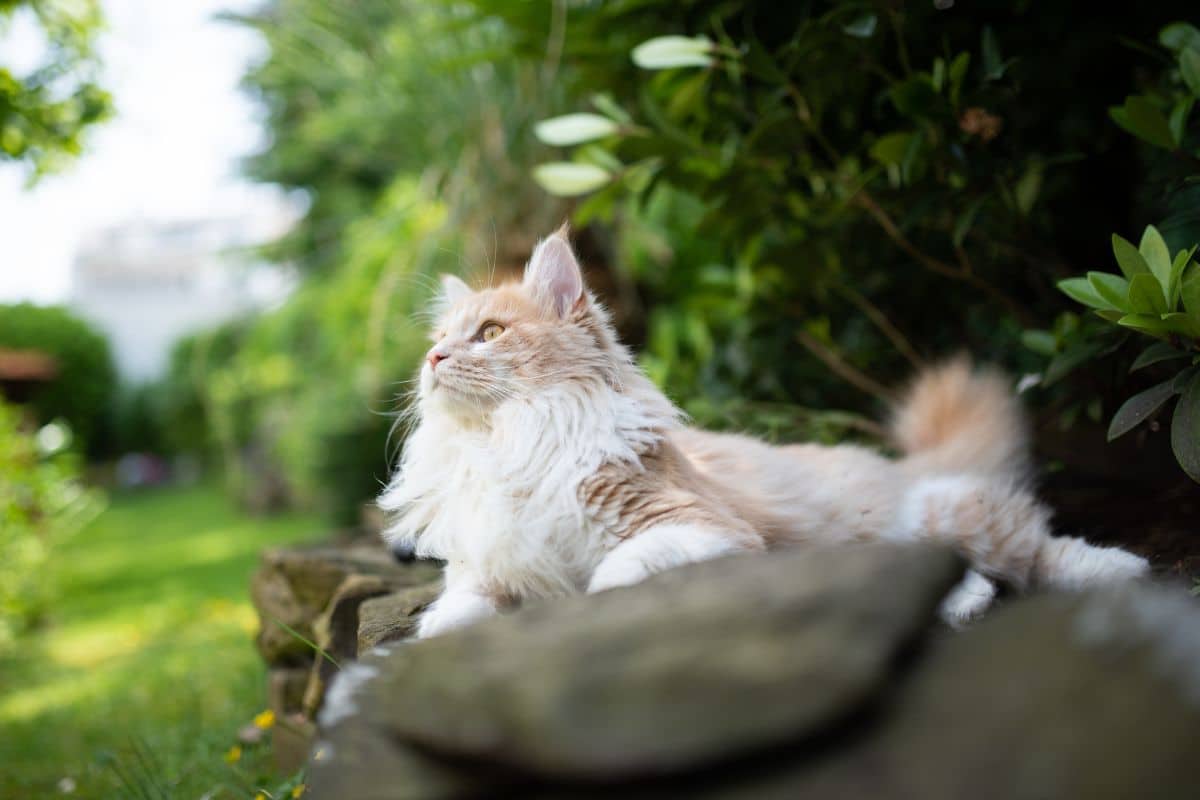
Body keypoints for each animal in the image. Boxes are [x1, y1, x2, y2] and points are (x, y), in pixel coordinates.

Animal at [379, 225, 1147, 638]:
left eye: (488, 334)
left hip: (947, 512)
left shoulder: (701, 527)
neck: (503, 441)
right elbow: (455, 609)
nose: (433, 360)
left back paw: (1119, 572)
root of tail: (906, 466)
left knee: (1037, 548)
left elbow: (616, 570)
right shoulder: (487, 566)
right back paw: (961, 607)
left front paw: (590, 597)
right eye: (440, 340)